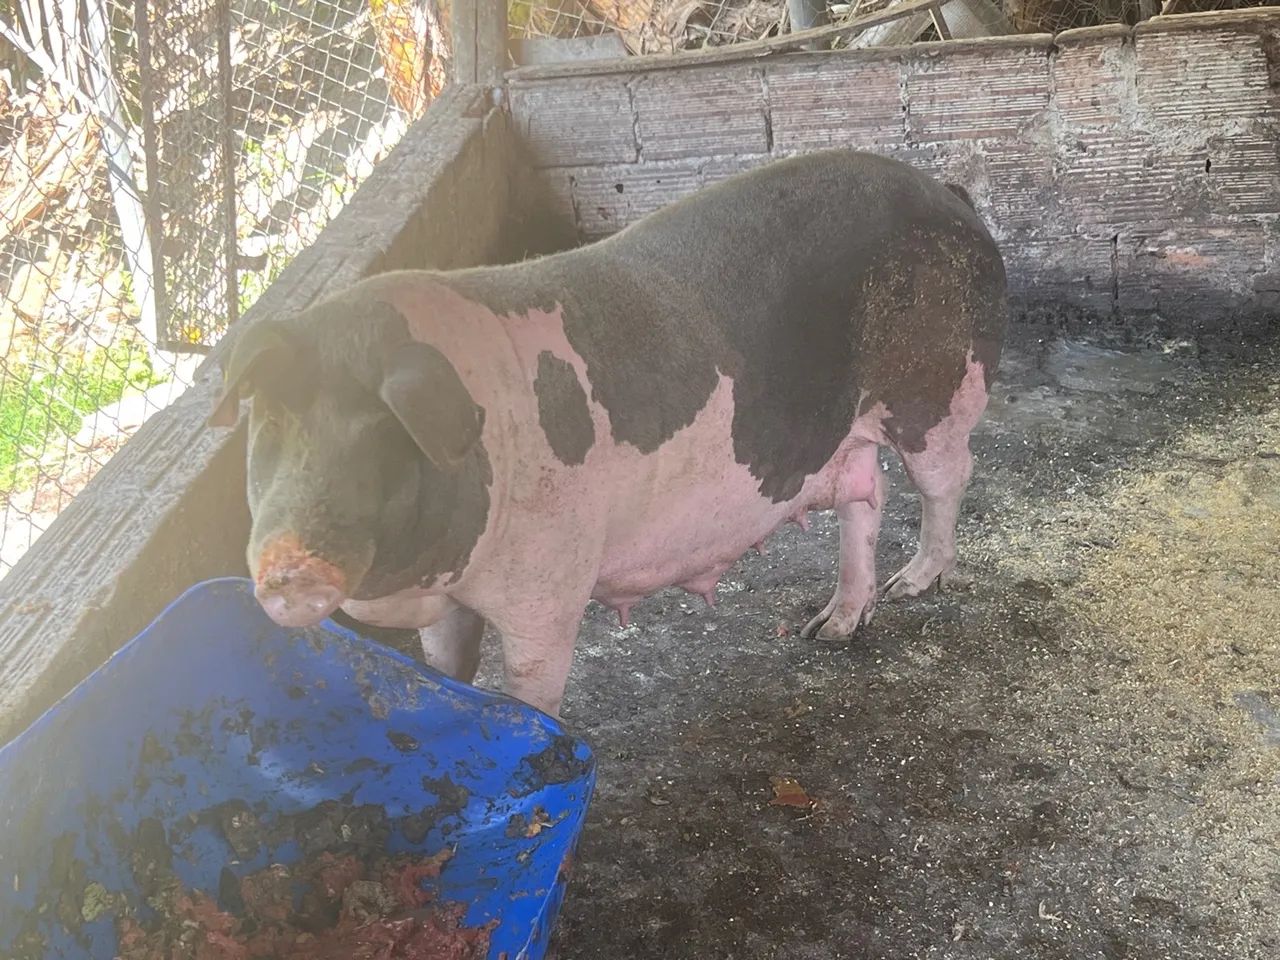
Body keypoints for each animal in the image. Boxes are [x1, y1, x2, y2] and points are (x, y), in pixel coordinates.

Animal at [210, 148, 1007, 718]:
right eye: (271, 424)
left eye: (382, 434)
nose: (289, 570)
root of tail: (950, 195)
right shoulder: (448, 603)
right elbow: (447, 669)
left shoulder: (549, 585)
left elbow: (532, 688)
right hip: (850, 432)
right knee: (863, 501)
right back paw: (833, 626)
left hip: (940, 391)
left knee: (946, 480)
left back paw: (914, 584)